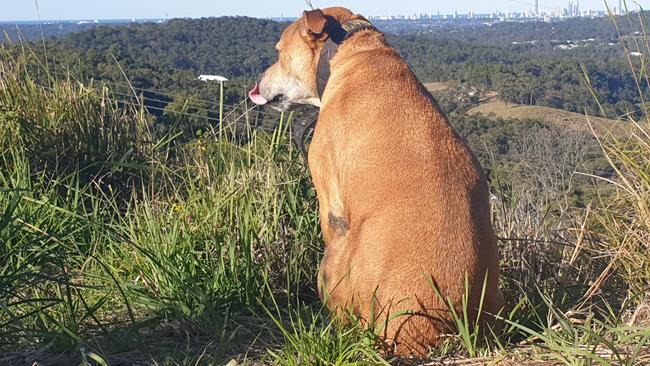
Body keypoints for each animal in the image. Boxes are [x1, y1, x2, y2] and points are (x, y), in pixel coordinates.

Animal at [248, 7, 502, 356]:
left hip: (333, 259)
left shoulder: (329, 202)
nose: (257, 83)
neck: (349, 49)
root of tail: (424, 332)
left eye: (278, 52)